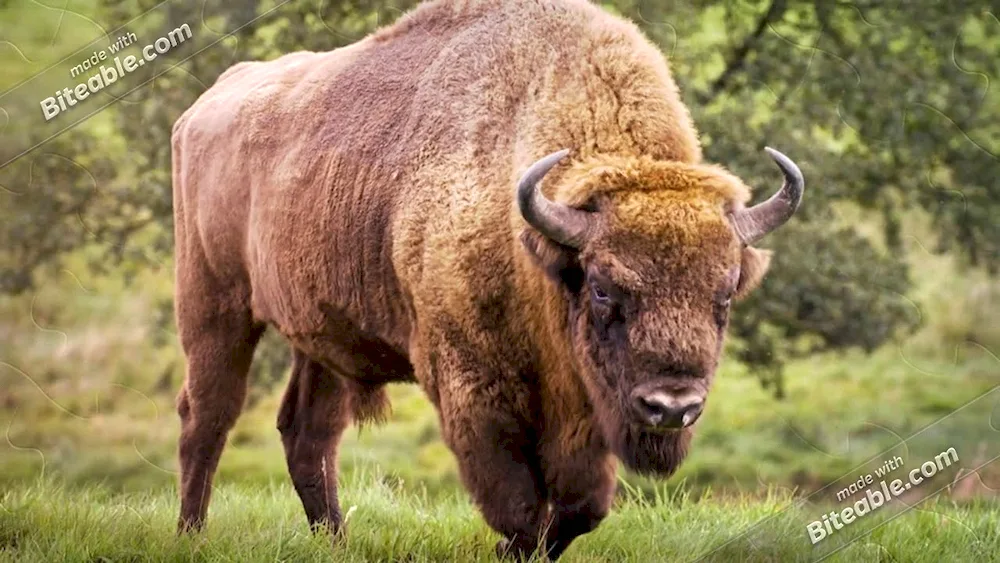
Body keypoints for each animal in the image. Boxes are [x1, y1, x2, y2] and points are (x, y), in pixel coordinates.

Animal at [170, 0, 804, 556]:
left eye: (724, 295)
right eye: (603, 288)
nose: (672, 407)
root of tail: (203, 106)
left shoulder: (581, 411)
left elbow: (579, 510)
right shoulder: (475, 389)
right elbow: (518, 505)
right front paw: (506, 545)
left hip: (321, 337)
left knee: (308, 432)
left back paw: (334, 542)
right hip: (214, 305)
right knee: (208, 416)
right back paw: (191, 535)